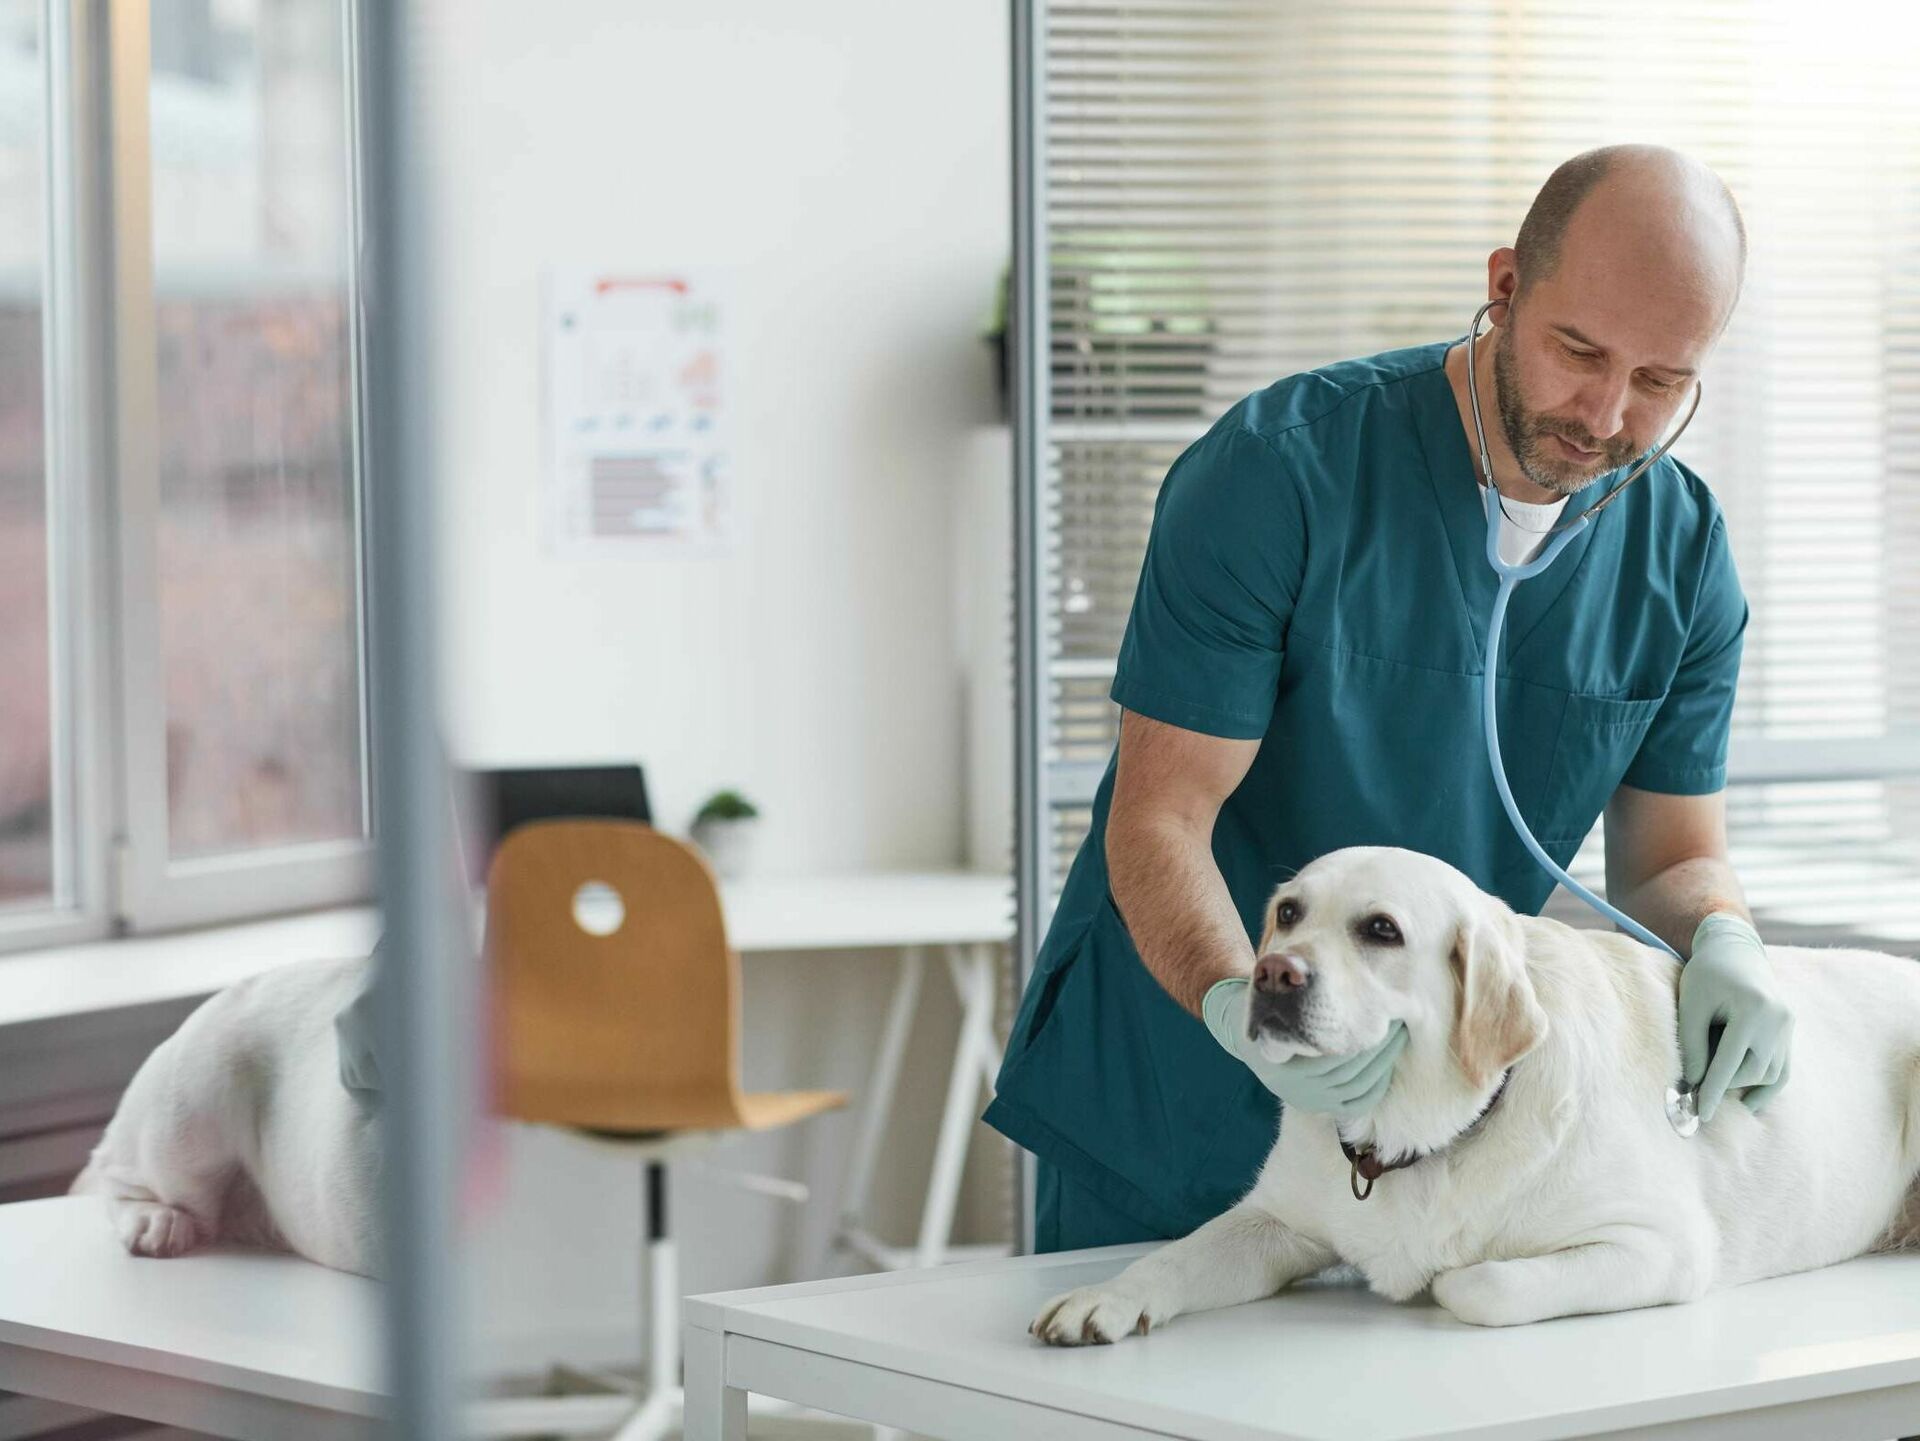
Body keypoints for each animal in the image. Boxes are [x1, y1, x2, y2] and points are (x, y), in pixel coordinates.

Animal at [1036, 844, 1920, 1343]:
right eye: (1287, 912)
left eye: (1381, 930)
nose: (1273, 974)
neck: (1415, 1139)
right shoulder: (1274, 1219)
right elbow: (1179, 1253)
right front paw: (1104, 1297)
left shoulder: (1662, 1246)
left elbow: (1481, 1281)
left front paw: (1437, 1278)